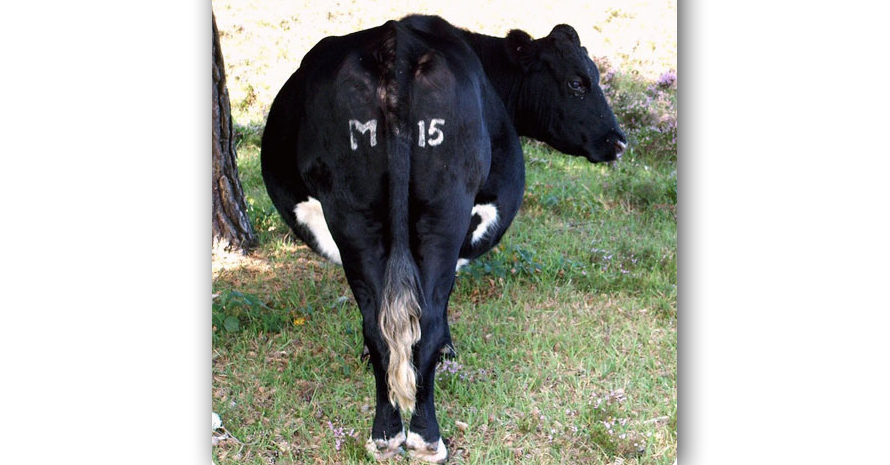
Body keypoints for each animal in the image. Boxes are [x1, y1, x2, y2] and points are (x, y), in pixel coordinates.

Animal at [260, 15, 625, 463]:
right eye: (577, 82)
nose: (618, 140)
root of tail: (396, 46)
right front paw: (450, 349)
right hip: (445, 208)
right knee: (427, 321)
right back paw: (426, 438)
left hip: (353, 214)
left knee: (378, 324)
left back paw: (385, 435)